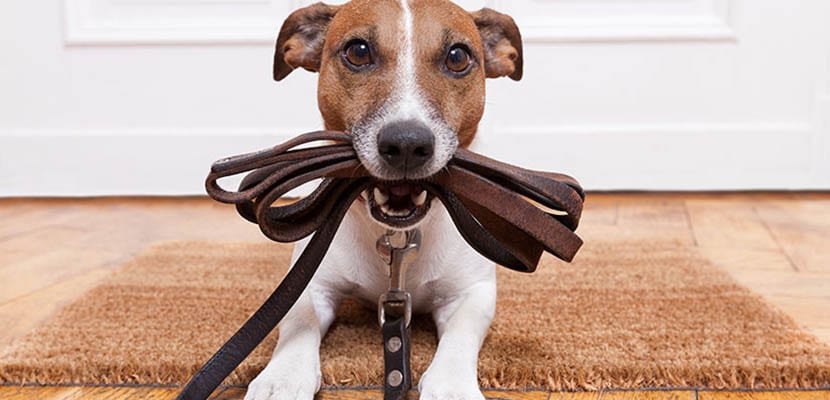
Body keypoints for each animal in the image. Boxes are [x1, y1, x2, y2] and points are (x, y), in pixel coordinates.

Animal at [244, 1, 524, 398]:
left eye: (457, 57)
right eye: (358, 51)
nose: (407, 144)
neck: (397, 237)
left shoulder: (472, 292)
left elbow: (460, 336)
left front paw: (452, 383)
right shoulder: (311, 283)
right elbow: (298, 319)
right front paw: (282, 376)